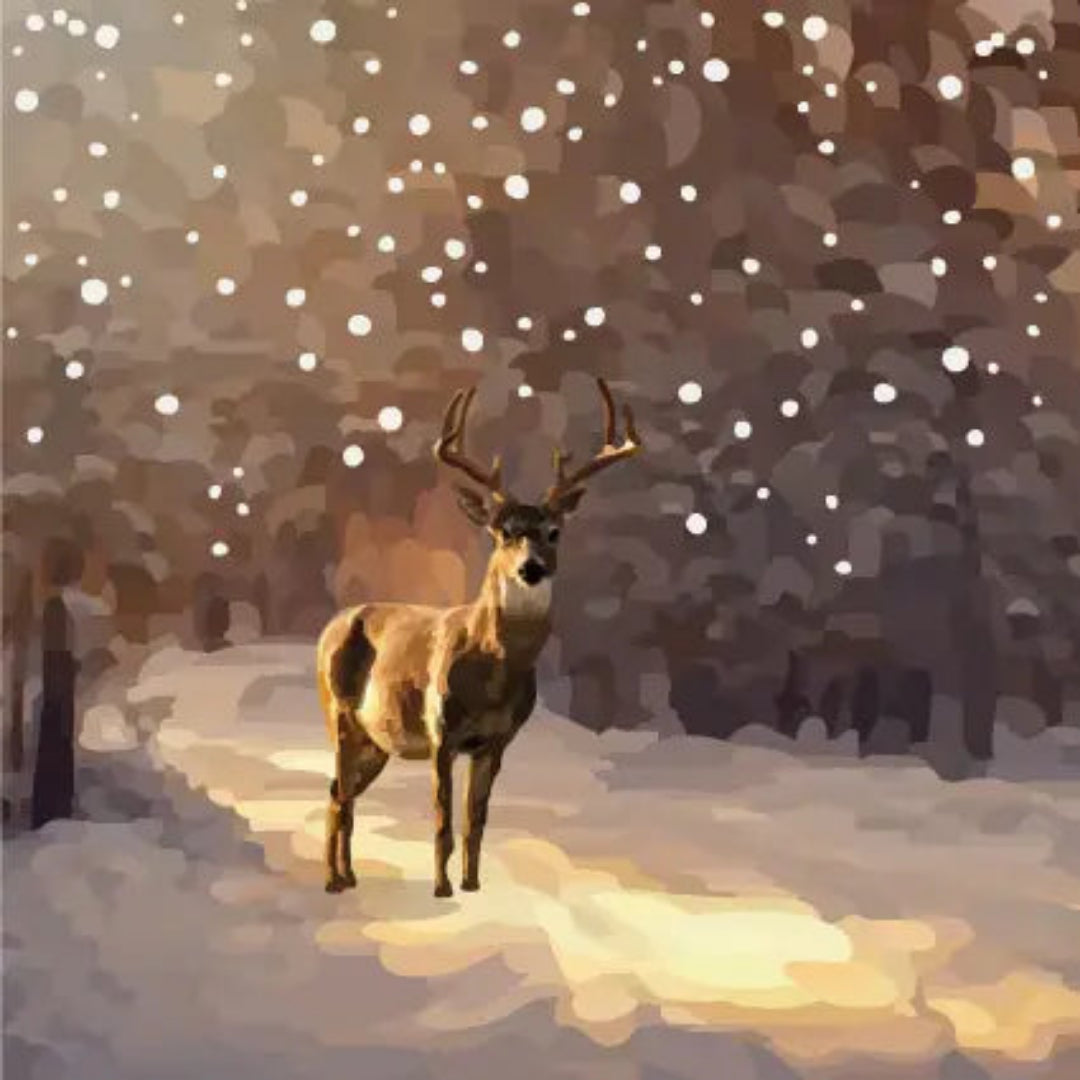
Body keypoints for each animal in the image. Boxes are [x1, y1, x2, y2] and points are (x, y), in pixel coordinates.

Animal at [316, 378, 642, 896]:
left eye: (554, 532)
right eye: (501, 531)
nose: (531, 567)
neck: (492, 674)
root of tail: (332, 626)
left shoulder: (495, 742)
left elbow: (476, 819)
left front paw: (471, 884)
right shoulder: (440, 732)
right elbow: (442, 819)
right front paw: (442, 888)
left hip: (377, 740)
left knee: (340, 794)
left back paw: (348, 876)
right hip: (340, 717)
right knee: (338, 794)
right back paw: (332, 880)